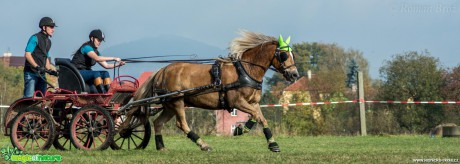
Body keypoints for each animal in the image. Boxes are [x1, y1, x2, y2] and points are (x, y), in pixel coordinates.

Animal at [119, 31, 298, 152]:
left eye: (292, 54)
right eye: (283, 55)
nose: (294, 74)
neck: (246, 70)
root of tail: (162, 70)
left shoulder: (253, 102)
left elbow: (261, 118)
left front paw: (272, 144)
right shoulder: (237, 102)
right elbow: (255, 116)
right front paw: (241, 130)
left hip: (169, 105)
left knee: (158, 123)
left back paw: (161, 147)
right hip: (177, 101)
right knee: (181, 124)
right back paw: (203, 144)